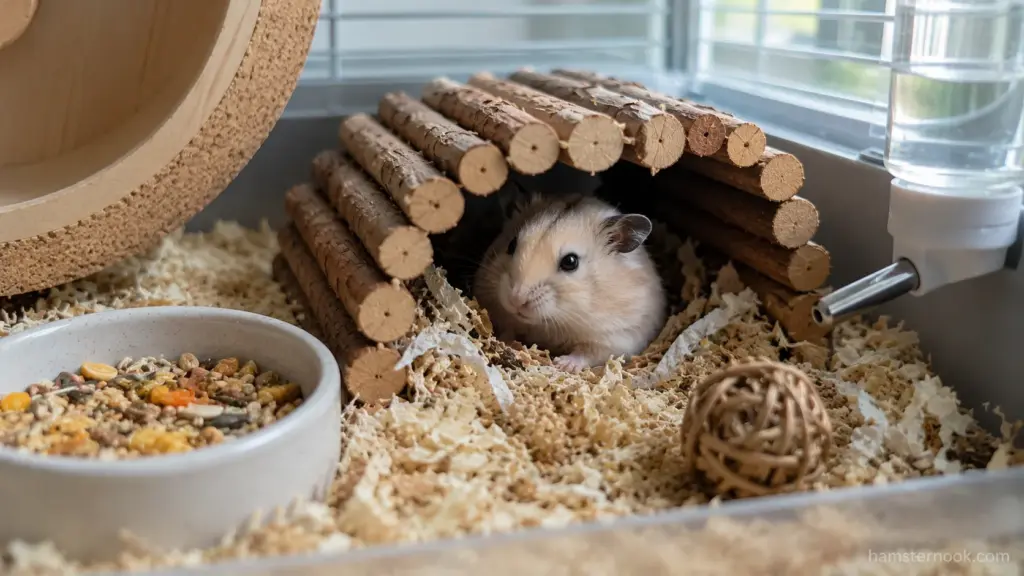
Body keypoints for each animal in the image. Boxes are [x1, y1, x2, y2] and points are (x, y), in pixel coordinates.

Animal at [473, 193, 667, 373]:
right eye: (512, 245)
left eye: (571, 261)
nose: (516, 300)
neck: (551, 322)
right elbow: (507, 330)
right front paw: (505, 342)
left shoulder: (616, 337)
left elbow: (587, 353)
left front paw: (562, 364)